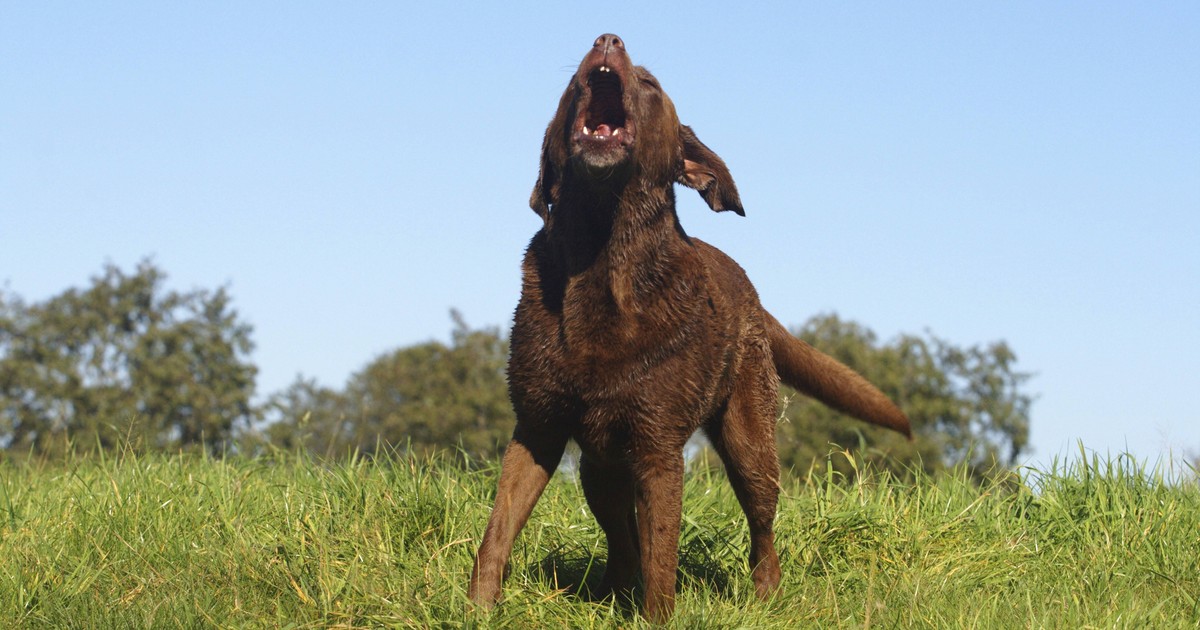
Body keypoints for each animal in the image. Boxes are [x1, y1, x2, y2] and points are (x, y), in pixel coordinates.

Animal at [468, 33, 907, 619]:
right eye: (569, 86)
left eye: (650, 84)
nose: (607, 39)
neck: (600, 254)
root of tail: (752, 293)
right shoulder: (537, 428)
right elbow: (497, 530)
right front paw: (475, 609)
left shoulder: (659, 451)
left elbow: (662, 562)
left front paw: (655, 618)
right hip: (599, 470)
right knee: (622, 541)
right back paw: (610, 594)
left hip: (749, 445)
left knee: (762, 530)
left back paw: (764, 597)